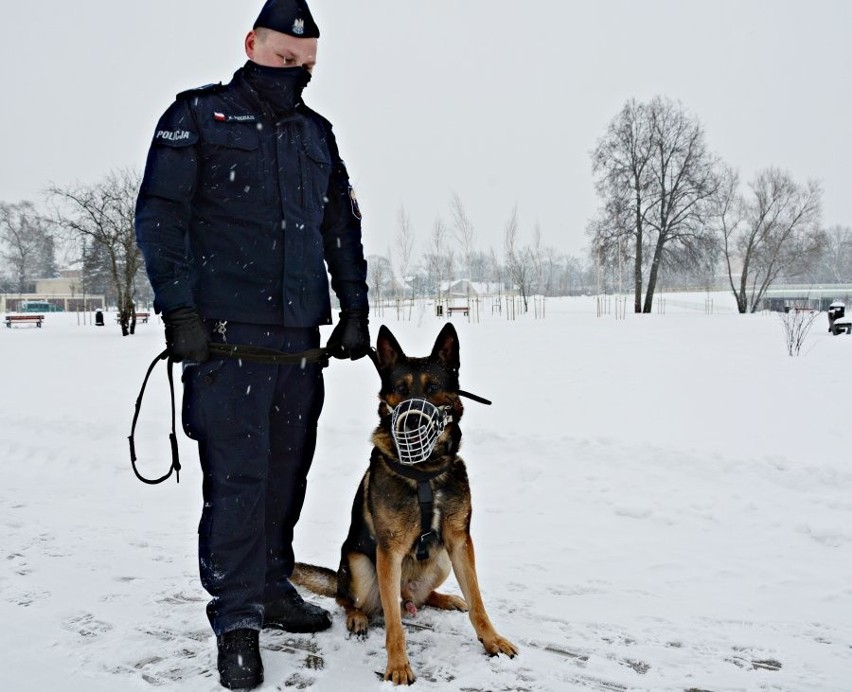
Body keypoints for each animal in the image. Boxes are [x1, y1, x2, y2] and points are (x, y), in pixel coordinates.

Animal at [292, 322, 516, 684]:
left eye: (434, 387)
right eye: (400, 388)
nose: (412, 421)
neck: (423, 472)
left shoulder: (459, 542)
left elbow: (478, 602)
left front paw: (492, 639)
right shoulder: (389, 551)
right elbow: (394, 626)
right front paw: (397, 665)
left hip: (442, 560)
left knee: (419, 599)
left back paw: (446, 598)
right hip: (360, 566)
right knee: (350, 600)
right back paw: (357, 617)